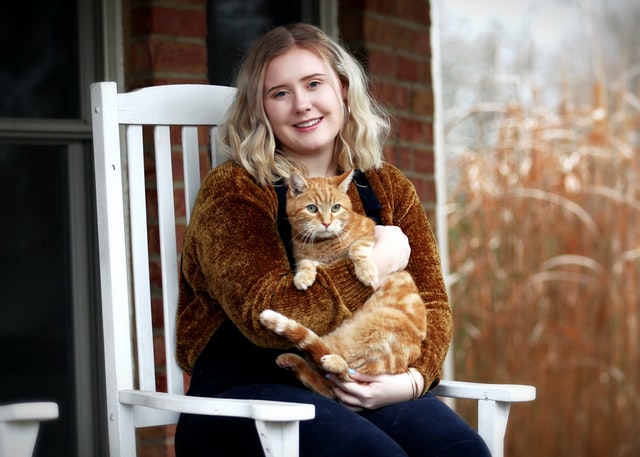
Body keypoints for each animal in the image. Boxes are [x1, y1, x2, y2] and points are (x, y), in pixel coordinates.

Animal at [258, 169, 428, 398]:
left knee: (341, 371)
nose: (327, 223)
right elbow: (305, 262)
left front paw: (366, 271)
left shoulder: (369, 234)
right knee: (326, 378)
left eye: (336, 208)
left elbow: (357, 248)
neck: (323, 245)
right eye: (312, 208)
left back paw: (331, 362)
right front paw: (303, 276)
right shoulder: (306, 255)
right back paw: (293, 361)